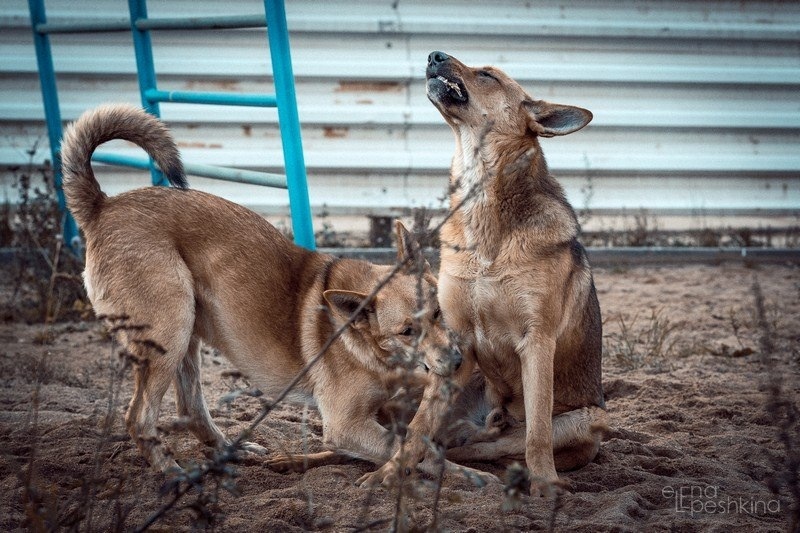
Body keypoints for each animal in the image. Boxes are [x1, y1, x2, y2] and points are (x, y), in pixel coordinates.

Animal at [360, 52, 608, 492]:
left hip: (586, 418)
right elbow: (419, 425)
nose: (433, 55)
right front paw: (387, 474)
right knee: (449, 439)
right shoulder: (455, 341)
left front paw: (546, 487)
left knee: (503, 444)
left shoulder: (537, 341)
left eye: (487, 75)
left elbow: (537, 433)